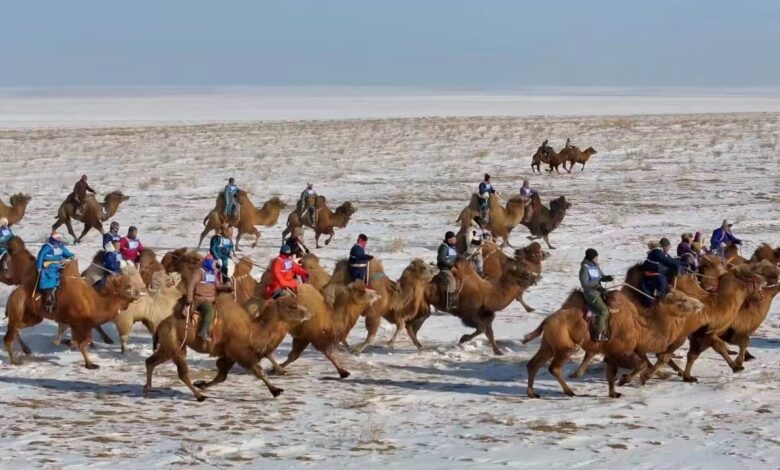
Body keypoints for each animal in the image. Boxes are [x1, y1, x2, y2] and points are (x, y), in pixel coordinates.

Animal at [4, 261, 141, 368]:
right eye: (128, 285)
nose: (139, 292)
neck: (94, 302)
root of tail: (13, 294)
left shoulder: (75, 324)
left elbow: (77, 342)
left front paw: (70, 344)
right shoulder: (80, 324)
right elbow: (84, 343)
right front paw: (90, 364)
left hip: (33, 317)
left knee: (17, 328)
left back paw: (26, 350)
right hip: (18, 309)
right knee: (9, 336)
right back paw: (15, 361)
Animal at [145, 295, 311, 401]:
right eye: (292, 306)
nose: (308, 312)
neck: (253, 331)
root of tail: (160, 326)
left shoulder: (229, 356)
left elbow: (221, 376)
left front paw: (202, 384)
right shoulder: (241, 353)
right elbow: (259, 371)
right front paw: (276, 391)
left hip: (168, 347)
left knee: (150, 361)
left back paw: (148, 387)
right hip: (176, 347)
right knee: (182, 373)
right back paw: (199, 397)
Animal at [524, 289, 704, 398]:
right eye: (683, 299)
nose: (700, 305)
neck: (641, 328)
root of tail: (547, 320)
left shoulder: (613, 352)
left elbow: (613, 373)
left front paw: (615, 391)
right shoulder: (619, 350)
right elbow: (637, 365)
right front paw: (624, 381)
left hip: (548, 344)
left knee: (533, 364)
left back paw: (532, 393)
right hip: (564, 346)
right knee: (553, 367)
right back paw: (569, 391)